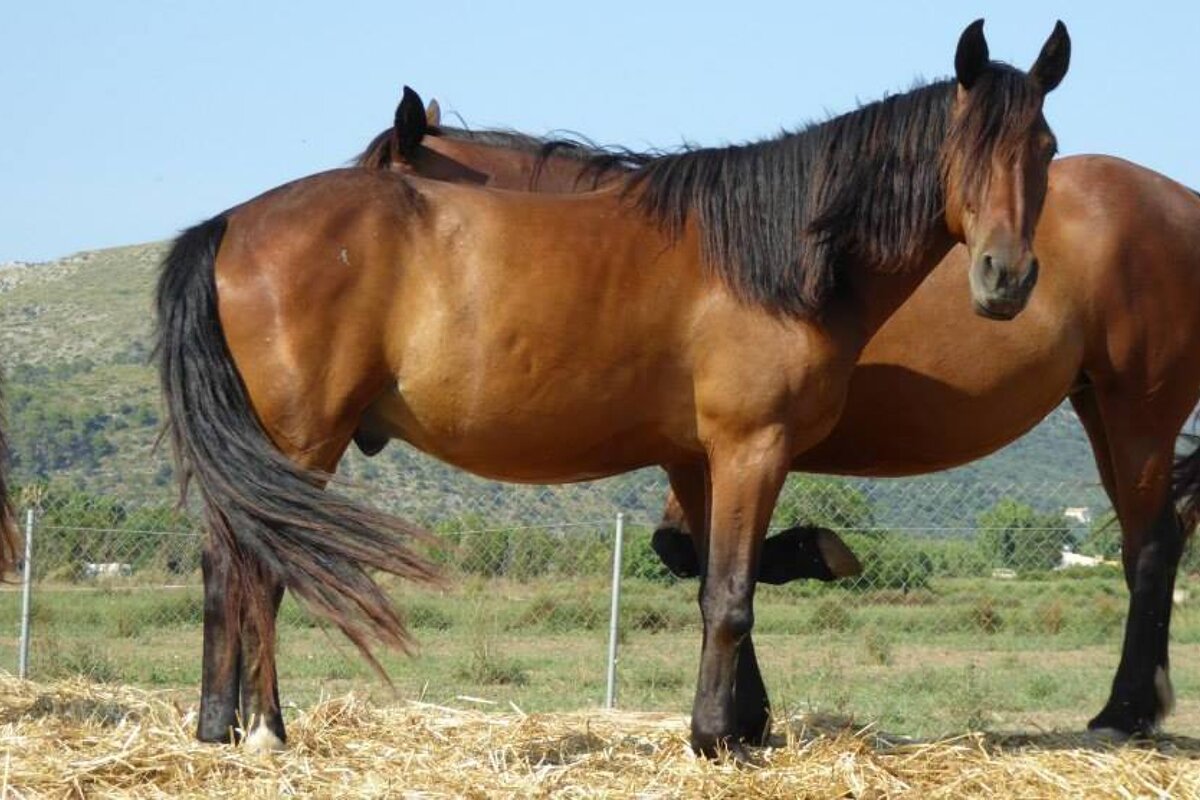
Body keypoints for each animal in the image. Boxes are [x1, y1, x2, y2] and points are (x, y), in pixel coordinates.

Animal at [157, 20, 1069, 757]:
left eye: (1047, 149)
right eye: (962, 148)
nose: (1006, 277)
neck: (775, 258)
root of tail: (229, 225)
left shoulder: (699, 461)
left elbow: (712, 584)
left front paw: (742, 722)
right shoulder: (752, 448)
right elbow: (730, 596)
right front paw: (717, 738)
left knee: (229, 567)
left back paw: (221, 726)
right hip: (302, 440)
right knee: (257, 568)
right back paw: (265, 730)